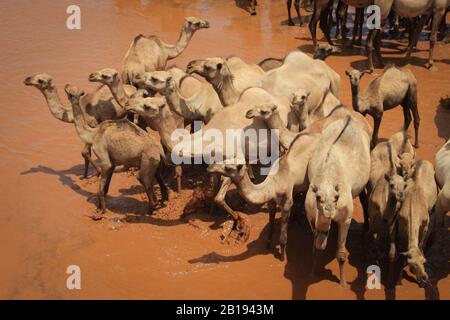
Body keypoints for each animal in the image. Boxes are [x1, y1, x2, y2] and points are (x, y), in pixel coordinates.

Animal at [63, 84, 169, 218]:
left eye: (69, 92)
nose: (66, 85)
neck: (92, 134)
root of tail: (160, 151)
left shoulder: (103, 157)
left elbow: (100, 189)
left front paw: (100, 213)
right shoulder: (112, 163)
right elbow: (105, 188)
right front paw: (99, 208)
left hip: (148, 159)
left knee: (143, 178)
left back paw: (149, 211)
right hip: (155, 162)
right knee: (158, 177)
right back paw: (162, 200)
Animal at [304, 115, 370, 288]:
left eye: (336, 197)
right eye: (318, 197)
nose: (329, 212)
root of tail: (350, 117)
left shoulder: (346, 218)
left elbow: (340, 253)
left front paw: (342, 282)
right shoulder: (311, 215)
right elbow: (318, 244)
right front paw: (312, 272)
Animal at [396, 160, 438, 288]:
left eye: (424, 261)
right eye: (413, 266)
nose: (424, 278)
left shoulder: (425, 226)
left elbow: (421, 243)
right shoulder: (402, 225)